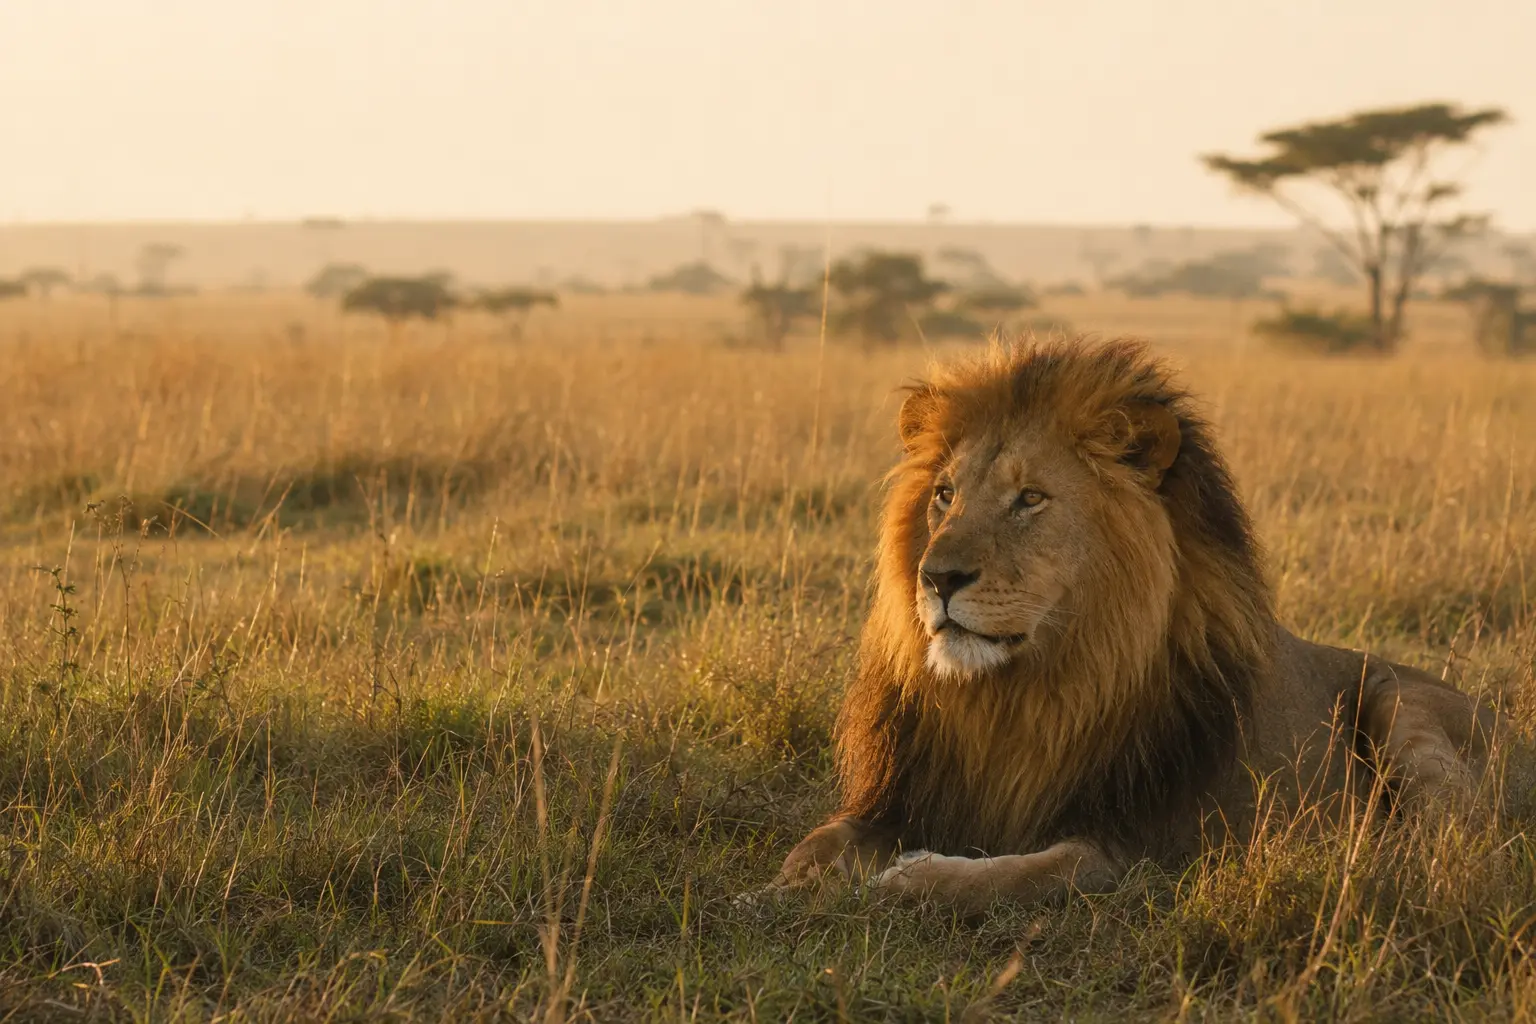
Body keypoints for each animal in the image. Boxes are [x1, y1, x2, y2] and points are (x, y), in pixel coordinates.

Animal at [765, 338, 1501, 915]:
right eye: (945, 495)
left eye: (1030, 498)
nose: (937, 578)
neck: (1019, 696)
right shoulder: (904, 795)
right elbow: (816, 844)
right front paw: (792, 883)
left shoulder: (1137, 849)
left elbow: (1023, 874)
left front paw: (909, 877)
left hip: (1401, 704)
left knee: (1452, 841)